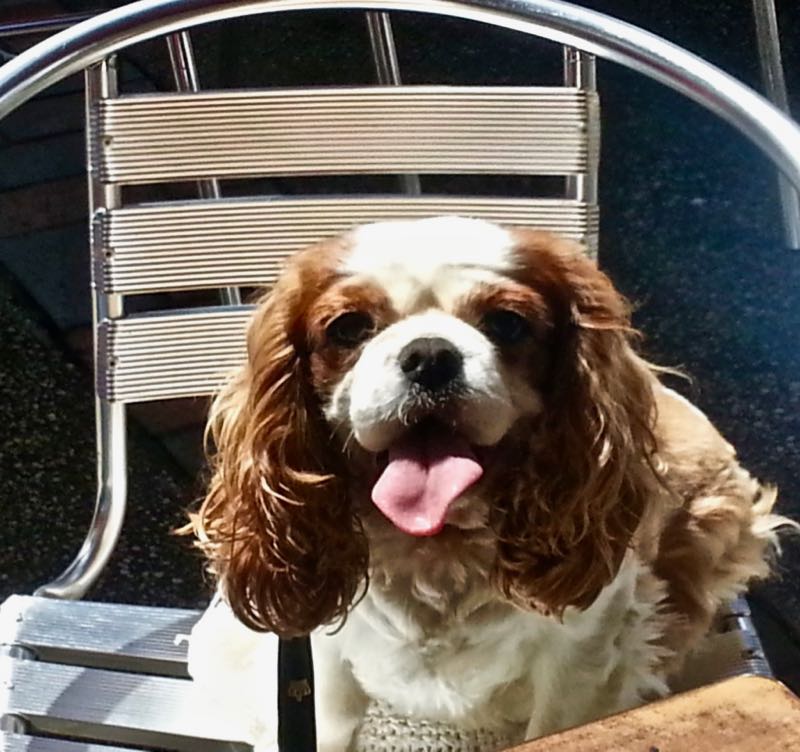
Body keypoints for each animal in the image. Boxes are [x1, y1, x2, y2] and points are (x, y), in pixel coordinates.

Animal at [184, 214, 792, 748]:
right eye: (348, 328)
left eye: (507, 323)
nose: (430, 355)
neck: (438, 545)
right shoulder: (321, 654)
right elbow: (325, 723)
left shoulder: (587, 645)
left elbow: (560, 720)